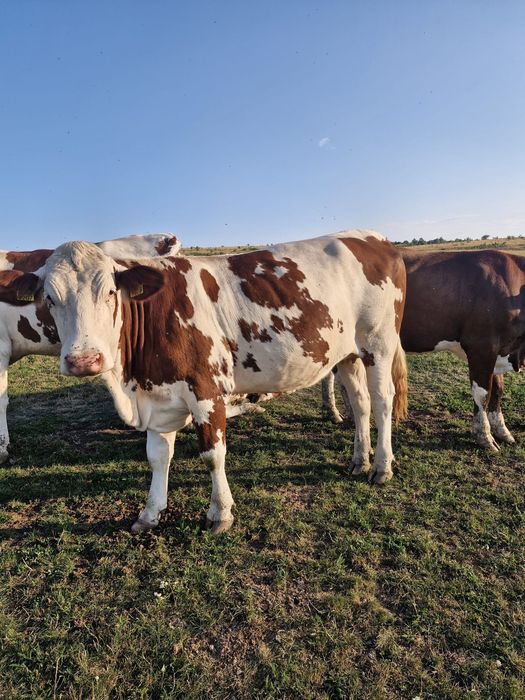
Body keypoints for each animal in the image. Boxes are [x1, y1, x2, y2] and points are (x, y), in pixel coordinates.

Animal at [323, 248, 525, 452]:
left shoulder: (498, 349)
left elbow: (498, 391)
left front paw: (502, 431)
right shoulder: (481, 346)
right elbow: (483, 394)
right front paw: (484, 436)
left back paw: (334, 412)